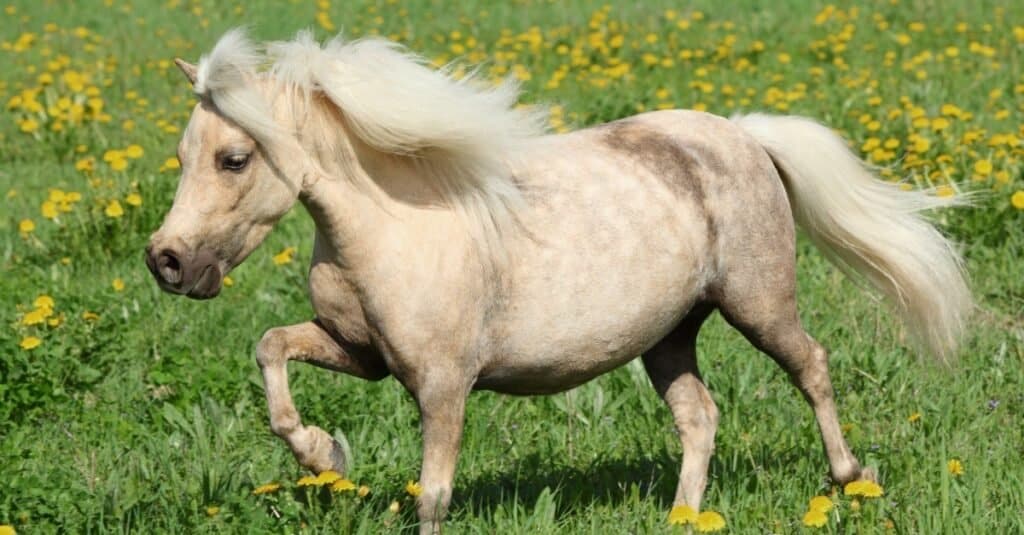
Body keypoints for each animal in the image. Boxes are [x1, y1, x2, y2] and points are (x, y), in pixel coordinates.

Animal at [145, 29, 971, 533]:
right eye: (184, 153)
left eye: (234, 159)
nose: (168, 261)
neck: (397, 223)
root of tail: (743, 134)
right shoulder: (362, 354)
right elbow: (270, 346)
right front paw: (323, 454)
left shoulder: (442, 384)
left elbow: (434, 490)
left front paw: (332, 457)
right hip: (669, 334)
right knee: (699, 416)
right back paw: (682, 517)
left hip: (757, 301)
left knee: (812, 368)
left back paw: (848, 476)